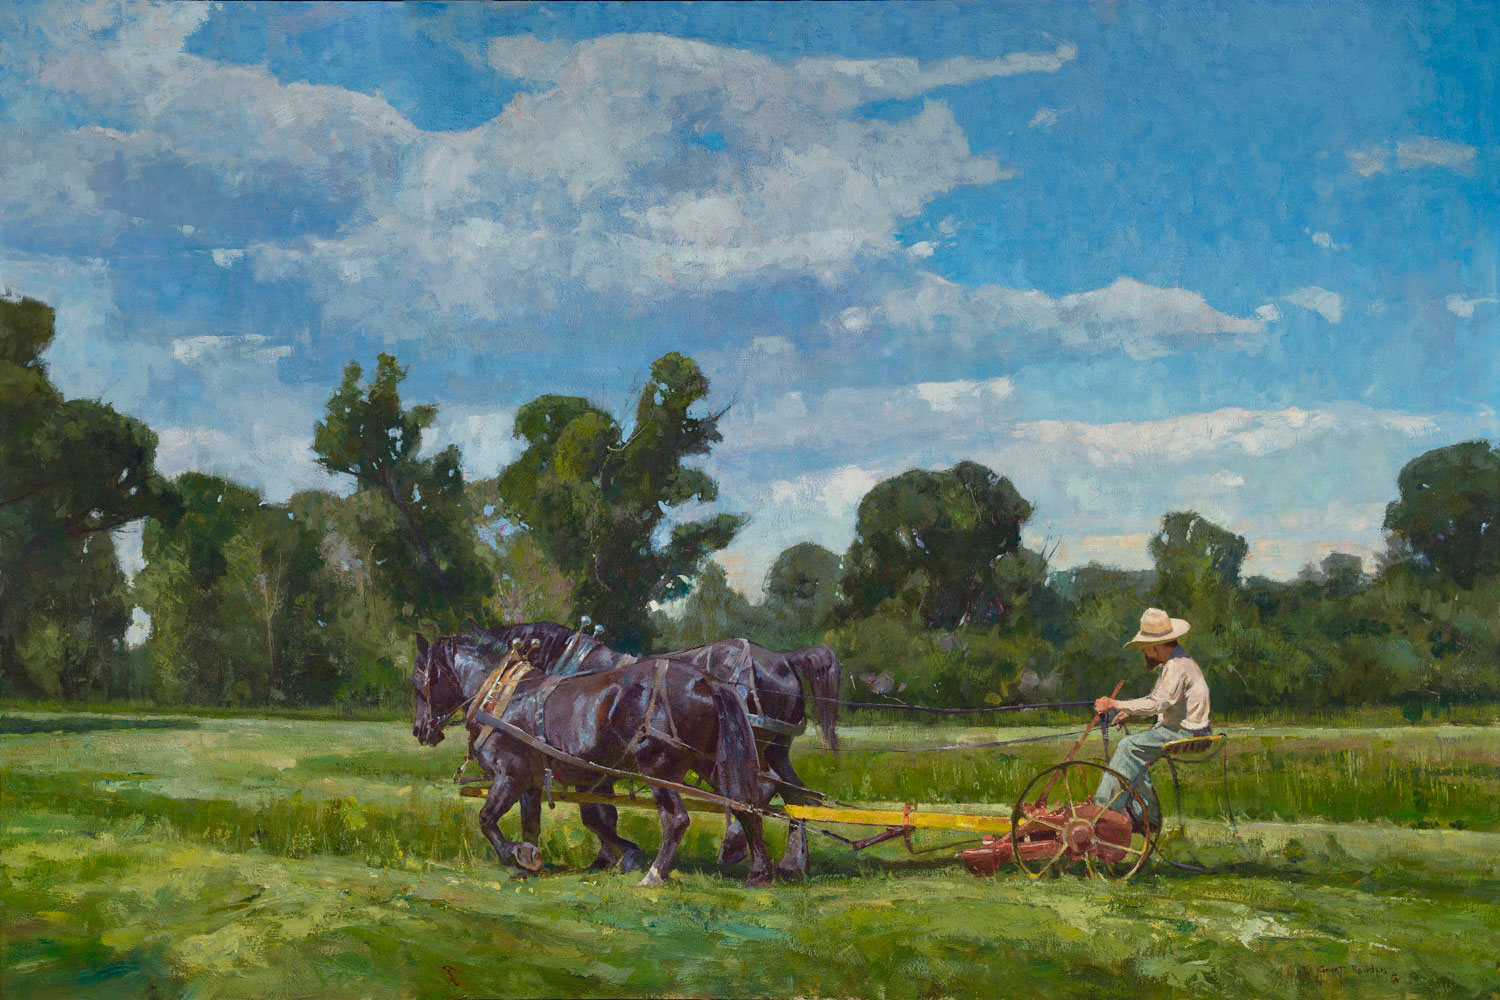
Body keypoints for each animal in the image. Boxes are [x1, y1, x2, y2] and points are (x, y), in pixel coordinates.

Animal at [444, 621, 842, 877]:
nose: (429, 727)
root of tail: (785, 659)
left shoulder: (586, 764)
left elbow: (596, 815)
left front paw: (614, 857)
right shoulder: (593, 768)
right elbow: (601, 815)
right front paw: (609, 857)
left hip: (747, 748)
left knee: (762, 788)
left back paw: (735, 847)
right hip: (774, 749)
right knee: (793, 793)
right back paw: (791, 862)